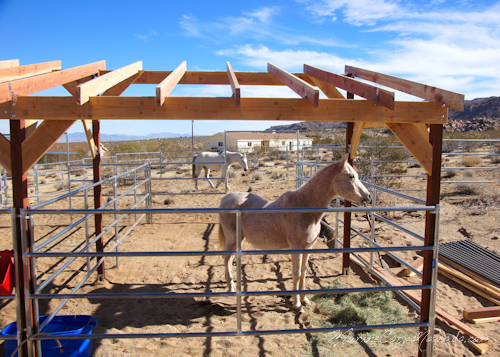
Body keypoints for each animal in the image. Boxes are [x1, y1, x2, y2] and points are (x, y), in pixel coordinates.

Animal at [219, 152, 372, 308]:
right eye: (351, 176)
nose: (368, 196)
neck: (305, 207)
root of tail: (225, 198)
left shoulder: (307, 248)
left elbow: (303, 273)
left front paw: (305, 300)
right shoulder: (296, 248)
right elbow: (296, 273)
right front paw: (297, 303)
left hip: (239, 240)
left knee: (230, 259)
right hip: (232, 238)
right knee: (226, 258)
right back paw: (231, 288)